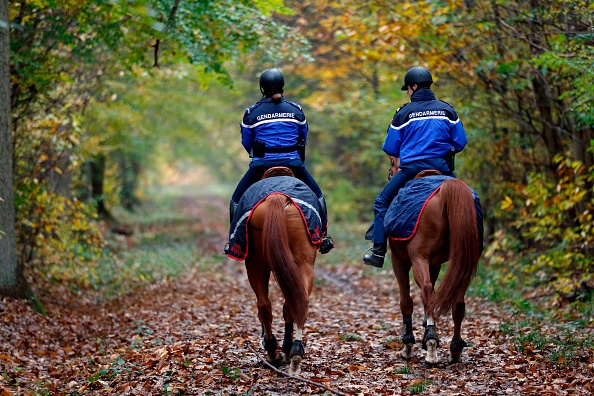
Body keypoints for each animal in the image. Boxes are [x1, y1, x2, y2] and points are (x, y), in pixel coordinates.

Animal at [240, 166, 316, 374]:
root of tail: (277, 196)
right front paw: (287, 349)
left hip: (256, 264)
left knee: (266, 305)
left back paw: (277, 352)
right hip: (302, 262)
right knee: (299, 302)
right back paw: (292, 353)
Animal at [384, 155, 480, 366]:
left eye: (392, 165)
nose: (390, 176)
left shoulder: (399, 260)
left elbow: (406, 301)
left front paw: (408, 344)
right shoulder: (434, 263)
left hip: (418, 257)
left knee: (427, 291)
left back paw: (431, 345)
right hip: (463, 261)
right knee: (457, 302)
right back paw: (455, 349)